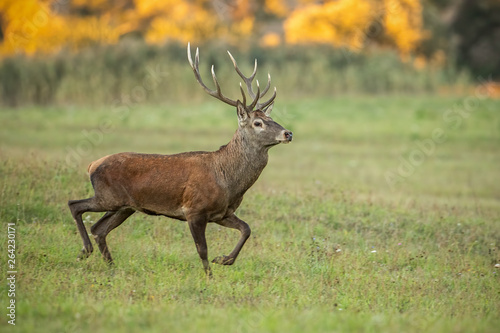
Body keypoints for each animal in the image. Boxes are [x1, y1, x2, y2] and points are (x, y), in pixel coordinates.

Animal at [67, 42, 292, 274]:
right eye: (258, 123)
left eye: (271, 118)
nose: (288, 133)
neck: (228, 181)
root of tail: (92, 164)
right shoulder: (194, 210)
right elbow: (202, 250)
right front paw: (210, 276)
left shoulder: (222, 213)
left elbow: (246, 229)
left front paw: (224, 259)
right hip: (107, 196)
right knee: (75, 205)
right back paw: (86, 250)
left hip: (124, 206)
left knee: (99, 228)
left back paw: (111, 266)